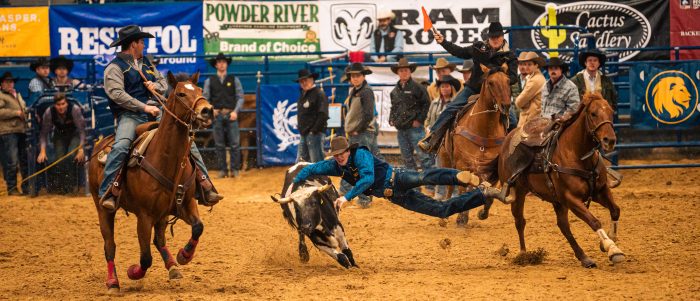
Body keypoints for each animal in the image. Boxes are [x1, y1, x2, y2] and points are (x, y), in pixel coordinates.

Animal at [88, 71, 213, 292]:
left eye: (200, 90)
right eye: (181, 94)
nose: (207, 110)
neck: (166, 159)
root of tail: (99, 145)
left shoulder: (185, 203)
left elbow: (198, 227)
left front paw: (184, 256)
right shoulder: (144, 215)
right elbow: (145, 258)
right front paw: (133, 272)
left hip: (162, 213)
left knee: (159, 239)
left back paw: (173, 267)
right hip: (102, 206)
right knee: (110, 245)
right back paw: (113, 282)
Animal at [440, 63, 512, 225]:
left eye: (508, 81)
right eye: (491, 82)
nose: (506, 105)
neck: (484, 130)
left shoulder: (492, 169)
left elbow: (489, 194)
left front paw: (481, 213)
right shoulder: (462, 165)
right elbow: (460, 189)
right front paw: (460, 218)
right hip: (446, 158)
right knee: (450, 187)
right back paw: (444, 219)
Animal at [494, 92, 628, 266]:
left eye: (611, 112)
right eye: (593, 114)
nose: (609, 140)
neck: (577, 155)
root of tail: (508, 139)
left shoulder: (600, 191)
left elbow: (615, 210)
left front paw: (609, 241)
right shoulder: (571, 198)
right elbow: (594, 221)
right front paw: (612, 249)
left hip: (556, 200)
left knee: (563, 225)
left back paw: (583, 257)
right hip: (519, 193)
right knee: (520, 221)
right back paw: (523, 254)